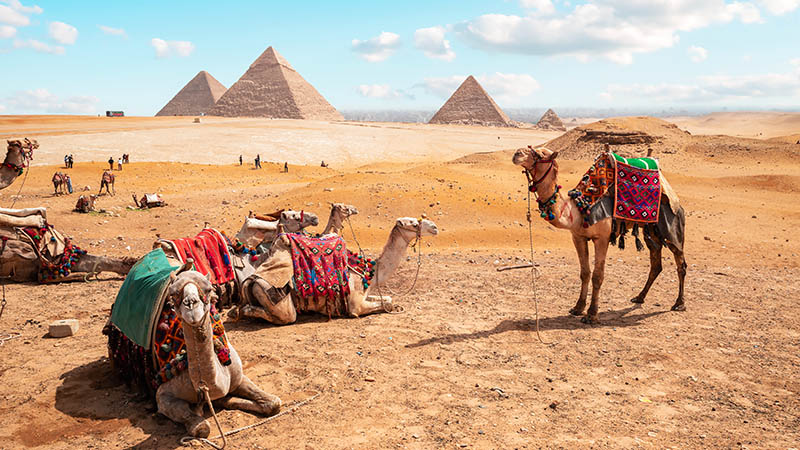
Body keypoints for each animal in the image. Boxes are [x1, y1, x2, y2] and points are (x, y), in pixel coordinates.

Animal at [234, 217, 439, 325]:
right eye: (413, 223)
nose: (435, 227)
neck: (370, 272)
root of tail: (251, 279)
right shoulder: (355, 304)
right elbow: (382, 304)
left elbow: (387, 298)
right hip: (274, 296)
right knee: (284, 315)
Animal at [512, 146, 686, 324]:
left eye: (540, 154)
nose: (517, 153)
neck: (580, 209)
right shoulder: (578, 237)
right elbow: (584, 273)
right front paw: (578, 308)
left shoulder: (602, 238)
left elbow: (597, 276)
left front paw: (591, 314)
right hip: (651, 230)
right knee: (656, 263)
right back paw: (639, 297)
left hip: (671, 225)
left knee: (681, 262)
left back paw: (679, 303)